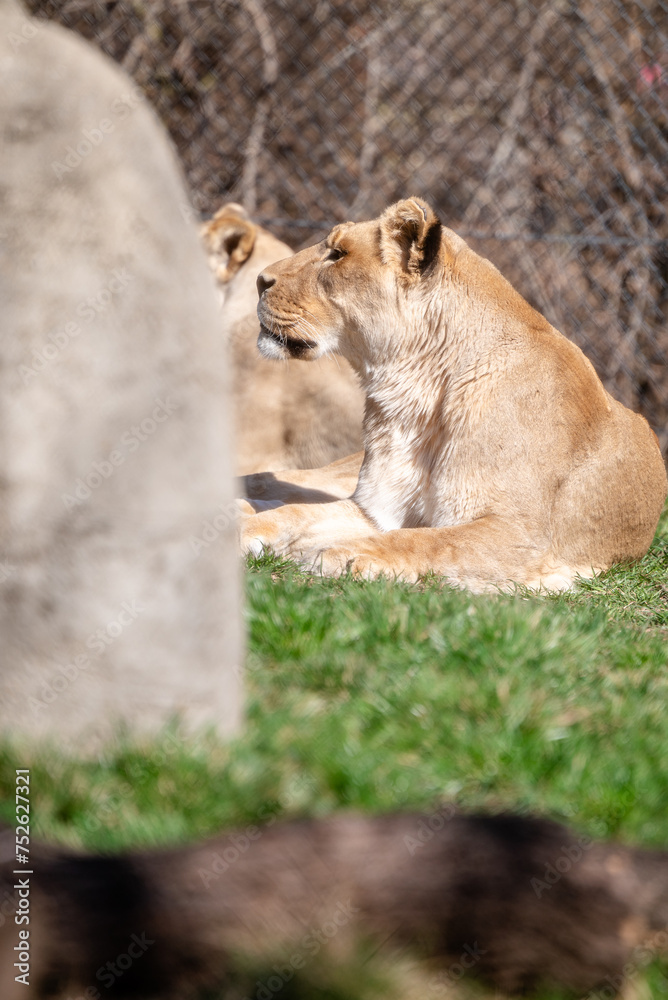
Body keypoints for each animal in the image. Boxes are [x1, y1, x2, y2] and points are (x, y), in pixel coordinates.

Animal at [239, 197, 667, 592]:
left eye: (338, 254)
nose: (259, 280)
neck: (413, 392)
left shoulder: (522, 536)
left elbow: (429, 540)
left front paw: (349, 553)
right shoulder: (375, 508)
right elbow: (296, 514)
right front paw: (243, 530)